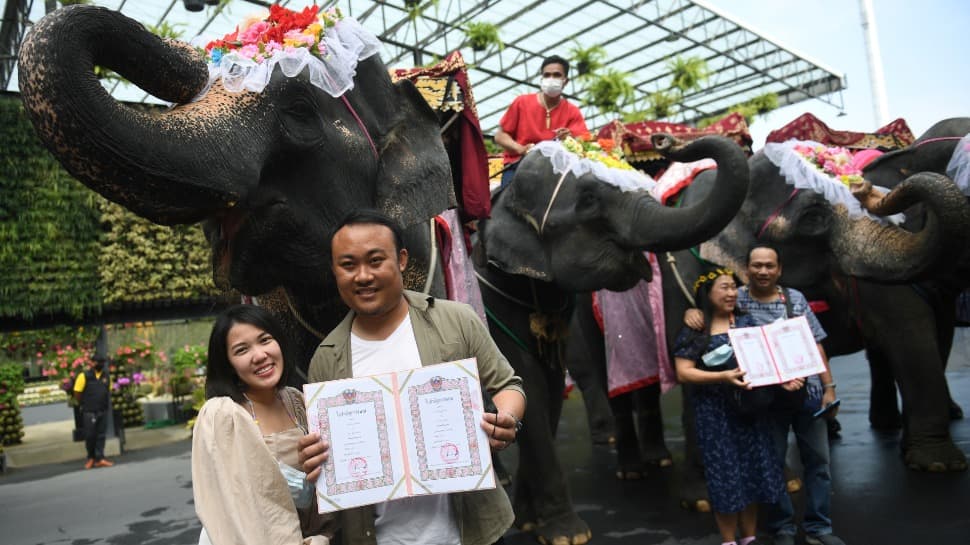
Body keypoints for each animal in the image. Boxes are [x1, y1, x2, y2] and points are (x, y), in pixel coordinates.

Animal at [472, 133, 752, 544]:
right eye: (589, 200)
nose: (663, 139)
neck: (504, 197)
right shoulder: (491, 294)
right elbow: (528, 383)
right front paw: (567, 534)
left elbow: (546, 391)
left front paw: (529, 521)